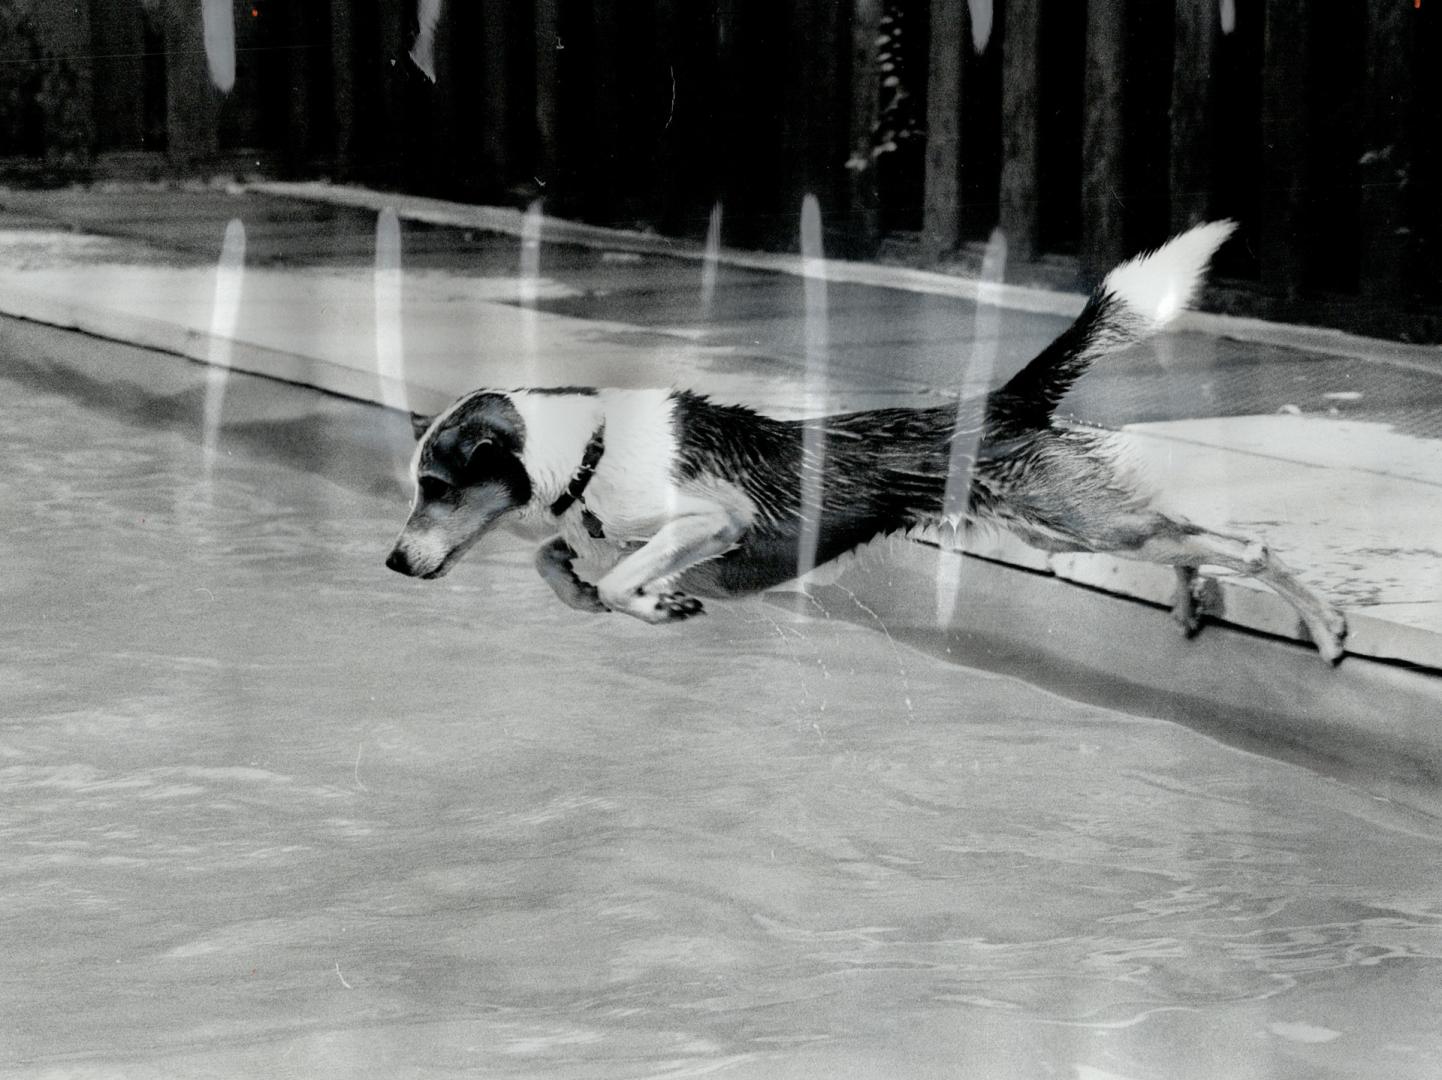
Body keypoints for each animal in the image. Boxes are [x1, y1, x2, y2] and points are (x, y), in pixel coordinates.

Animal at [386, 224, 1349, 666]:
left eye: (437, 487)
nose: (393, 564)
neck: (587, 450)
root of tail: (999, 400)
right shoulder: (587, 533)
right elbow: (558, 562)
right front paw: (612, 594)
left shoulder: (712, 521)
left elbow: (623, 573)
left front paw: (647, 601)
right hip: (1063, 521)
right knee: (1189, 536)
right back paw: (1192, 599)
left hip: (1080, 523)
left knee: (1245, 544)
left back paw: (1328, 628)